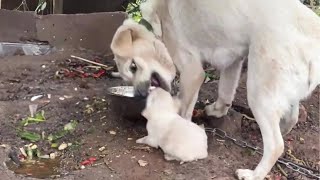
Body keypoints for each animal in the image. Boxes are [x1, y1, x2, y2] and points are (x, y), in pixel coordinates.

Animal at [110, 0, 320, 179]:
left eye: (133, 66)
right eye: (128, 76)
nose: (140, 95)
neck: (159, 19)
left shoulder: (193, 72)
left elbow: (184, 111)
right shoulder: (234, 61)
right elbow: (225, 92)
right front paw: (217, 111)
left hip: (258, 92)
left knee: (276, 145)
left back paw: (253, 174)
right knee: (291, 120)